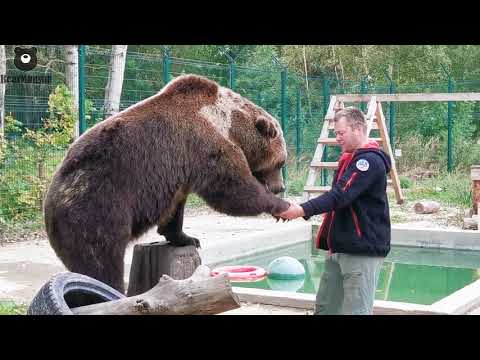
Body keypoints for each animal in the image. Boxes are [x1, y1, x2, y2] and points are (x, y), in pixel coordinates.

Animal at [45, 73, 290, 292]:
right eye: (281, 161)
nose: (280, 187)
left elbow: (174, 212)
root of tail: (52, 197)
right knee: (101, 258)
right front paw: (281, 207)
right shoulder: (208, 145)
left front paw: (189, 238)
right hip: (98, 204)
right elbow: (233, 190)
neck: (232, 126)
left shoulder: (180, 176)